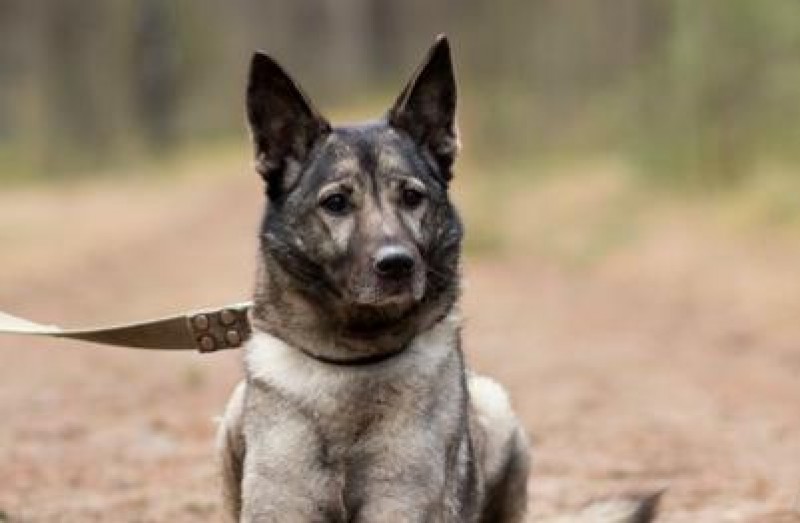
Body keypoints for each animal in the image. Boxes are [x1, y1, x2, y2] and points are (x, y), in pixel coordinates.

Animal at [216, 36, 659, 522]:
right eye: (335, 203)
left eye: (412, 197)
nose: (396, 264)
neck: (354, 361)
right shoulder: (280, 506)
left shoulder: (402, 503)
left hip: (494, 405)